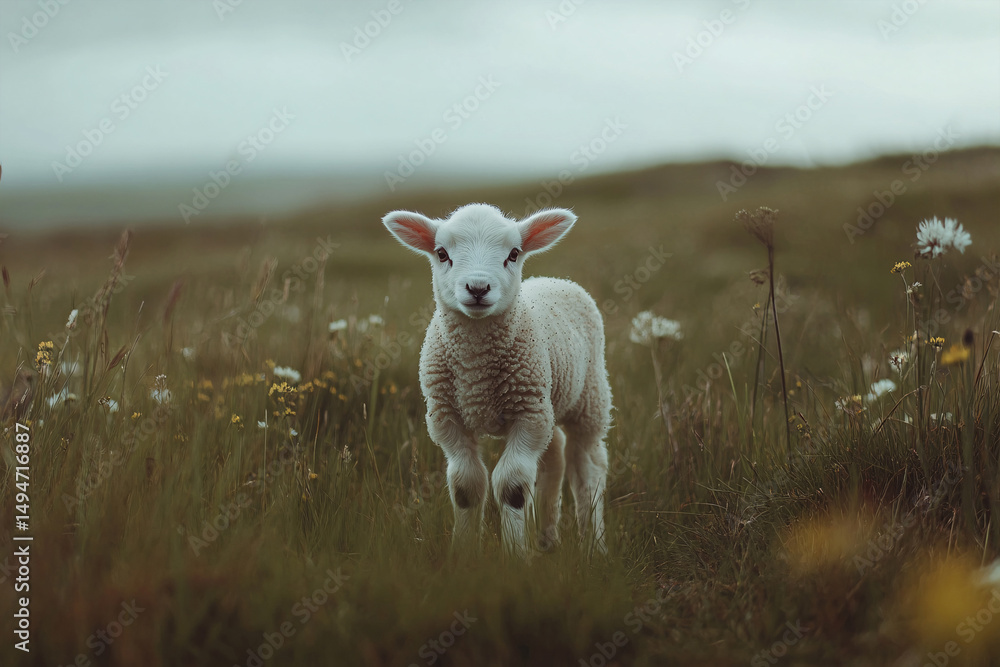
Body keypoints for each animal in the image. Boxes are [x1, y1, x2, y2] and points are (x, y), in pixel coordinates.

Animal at [381, 203, 613, 557]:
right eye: (441, 253)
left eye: (513, 253)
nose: (477, 289)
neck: (476, 372)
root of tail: (555, 279)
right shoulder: (446, 418)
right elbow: (466, 485)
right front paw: (463, 552)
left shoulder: (528, 414)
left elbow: (512, 486)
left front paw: (515, 555)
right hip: (547, 404)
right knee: (555, 458)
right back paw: (547, 539)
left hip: (588, 398)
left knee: (588, 468)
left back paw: (594, 546)